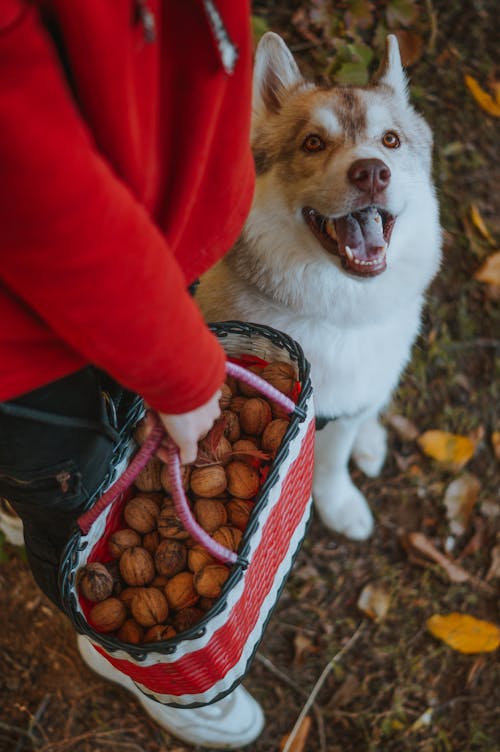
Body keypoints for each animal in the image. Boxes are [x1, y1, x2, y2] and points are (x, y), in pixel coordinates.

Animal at [197, 33, 440, 540]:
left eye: (390, 140)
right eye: (313, 142)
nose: (372, 172)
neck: (338, 314)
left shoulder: (343, 412)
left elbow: (333, 462)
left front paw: (339, 503)